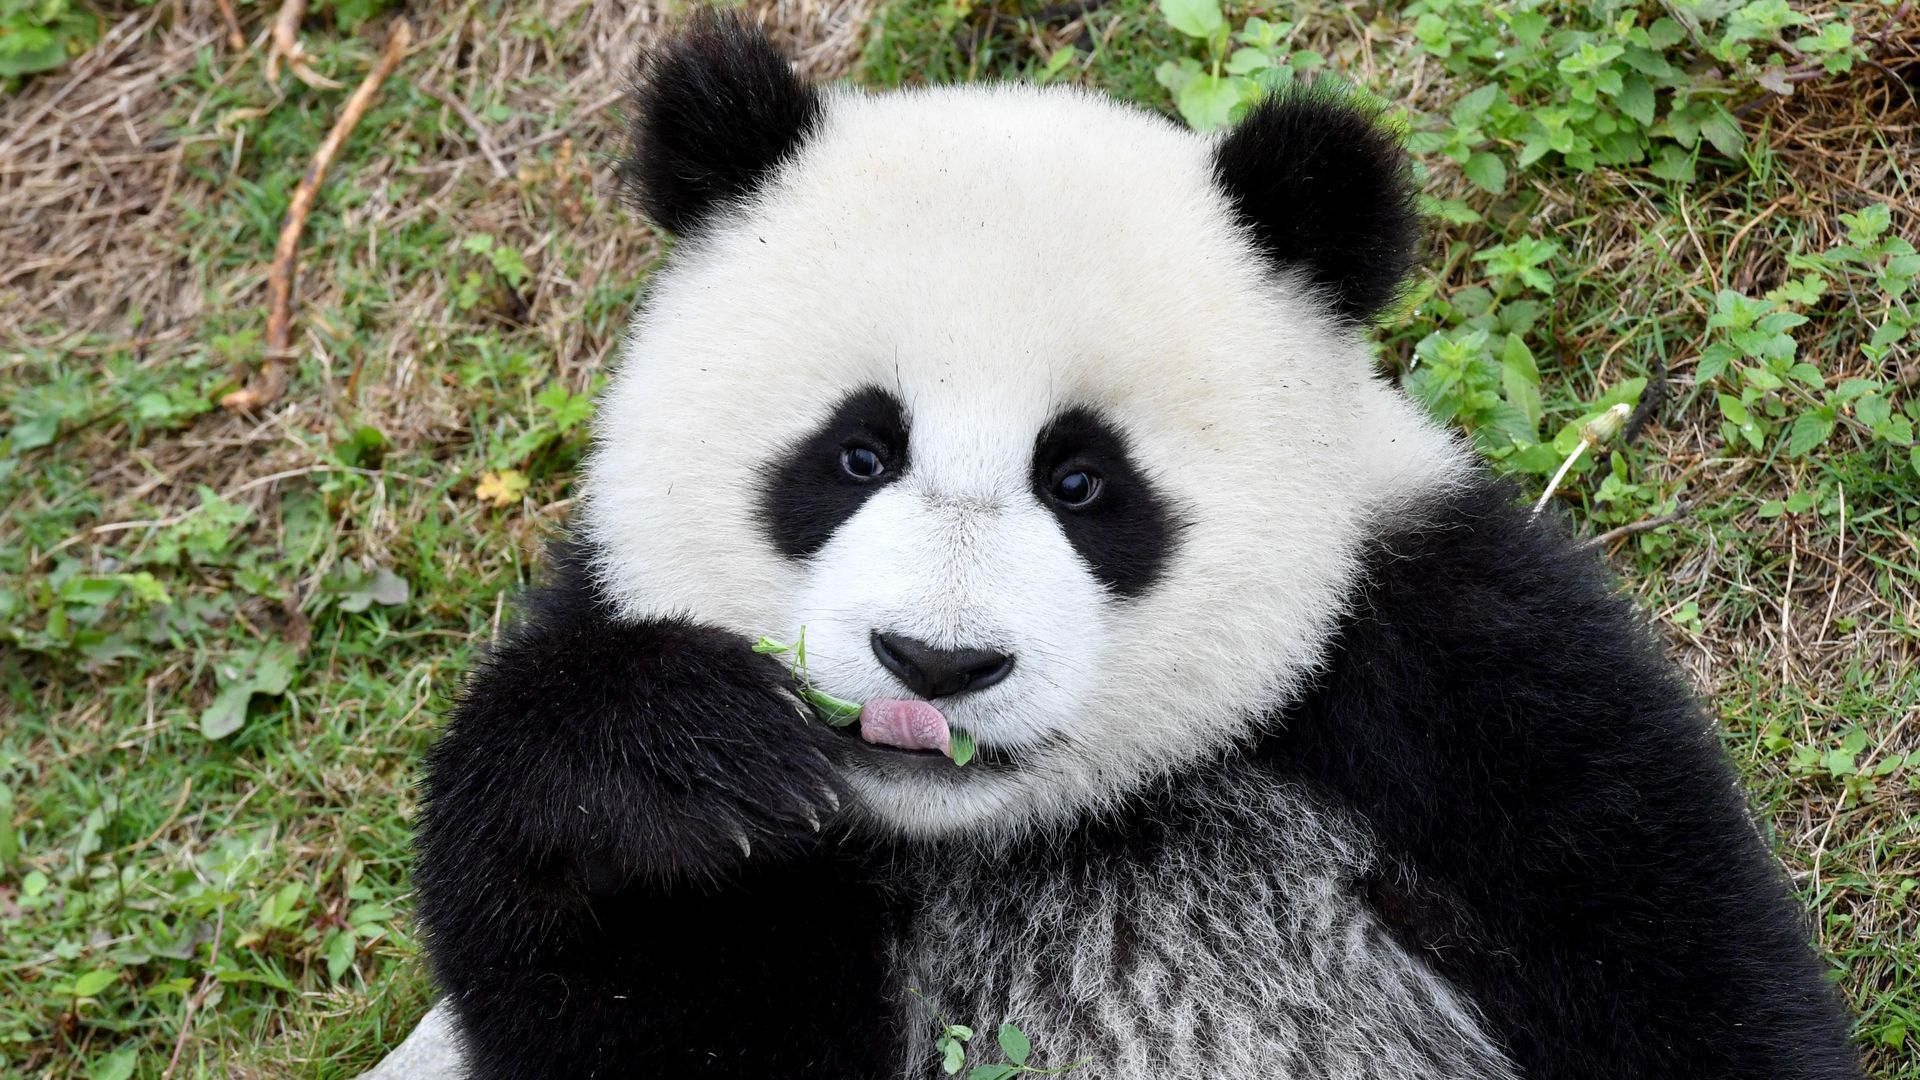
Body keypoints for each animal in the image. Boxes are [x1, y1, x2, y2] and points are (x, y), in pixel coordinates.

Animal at [410, 15, 1862, 1080]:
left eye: (1084, 483)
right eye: (857, 455)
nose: (936, 665)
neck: (1011, 828)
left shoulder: (1460, 667)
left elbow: (1677, 957)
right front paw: (672, 762)